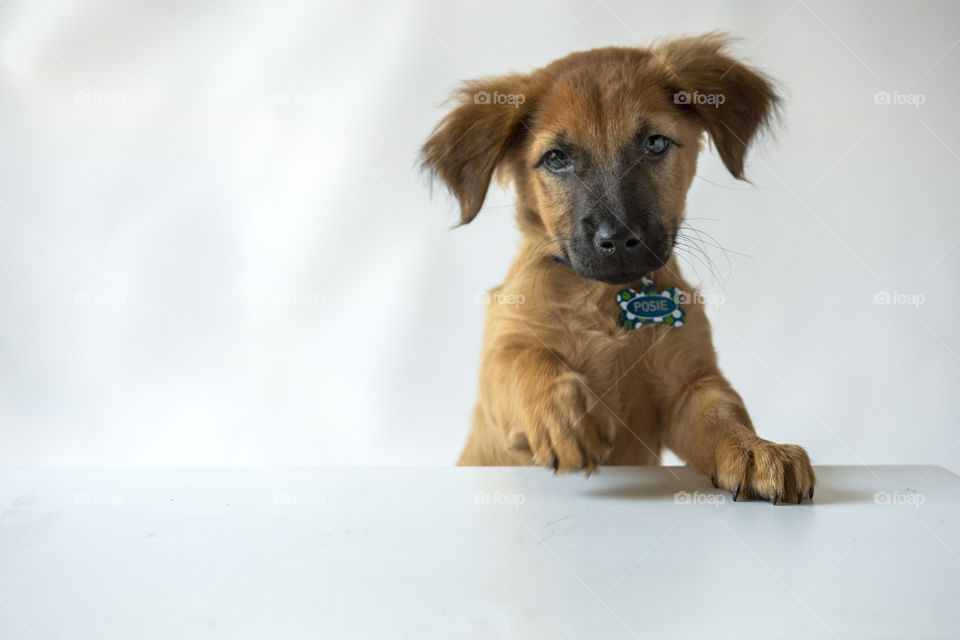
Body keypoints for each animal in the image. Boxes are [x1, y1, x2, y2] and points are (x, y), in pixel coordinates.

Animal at [424, 33, 812, 504]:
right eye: (556, 158)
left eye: (655, 144)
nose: (619, 239)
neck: (602, 298)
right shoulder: (502, 349)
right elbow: (528, 362)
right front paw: (566, 417)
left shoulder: (690, 383)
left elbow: (723, 413)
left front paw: (758, 449)